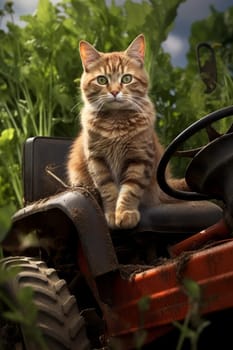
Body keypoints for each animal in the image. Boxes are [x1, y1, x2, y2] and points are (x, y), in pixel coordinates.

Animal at [66, 33, 187, 230]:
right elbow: (108, 189)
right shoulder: (97, 160)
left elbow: (131, 188)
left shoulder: (139, 158)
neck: (116, 123)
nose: (115, 92)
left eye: (126, 79)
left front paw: (125, 212)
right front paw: (111, 214)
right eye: (102, 80)